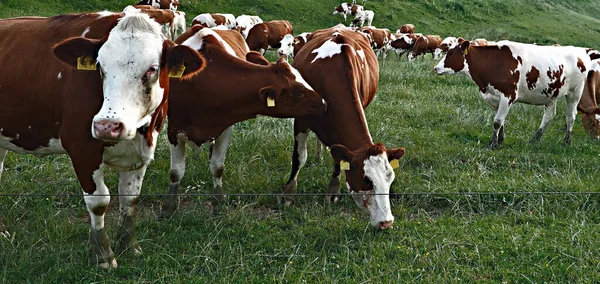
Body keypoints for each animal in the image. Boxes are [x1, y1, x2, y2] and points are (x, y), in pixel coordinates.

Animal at [0, 11, 205, 268]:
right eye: (100, 66)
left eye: (152, 69)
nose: (107, 126)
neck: (140, 132)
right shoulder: (82, 149)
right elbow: (99, 201)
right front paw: (102, 255)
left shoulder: (141, 151)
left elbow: (129, 198)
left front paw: (128, 246)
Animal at [158, 27, 328, 217]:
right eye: (299, 92)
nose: (324, 103)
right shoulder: (173, 129)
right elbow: (176, 172)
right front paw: (168, 207)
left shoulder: (225, 127)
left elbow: (217, 167)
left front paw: (218, 203)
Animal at [278, 24, 406, 230]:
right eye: (366, 181)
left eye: (390, 179)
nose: (386, 222)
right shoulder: (300, 121)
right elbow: (299, 158)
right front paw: (288, 194)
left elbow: (339, 158)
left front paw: (333, 191)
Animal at [436, 41, 600, 150]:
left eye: (450, 53)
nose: (436, 68)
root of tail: (580, 53)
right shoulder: (494, 97)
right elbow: (500, 121)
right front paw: (499, 141)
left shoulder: (507, 95)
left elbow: (497, 122)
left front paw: (492, 144)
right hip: (552, 93)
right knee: (549, 116)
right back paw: (535, 139)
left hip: (575, 92)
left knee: (570, 116)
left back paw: (566, 141)